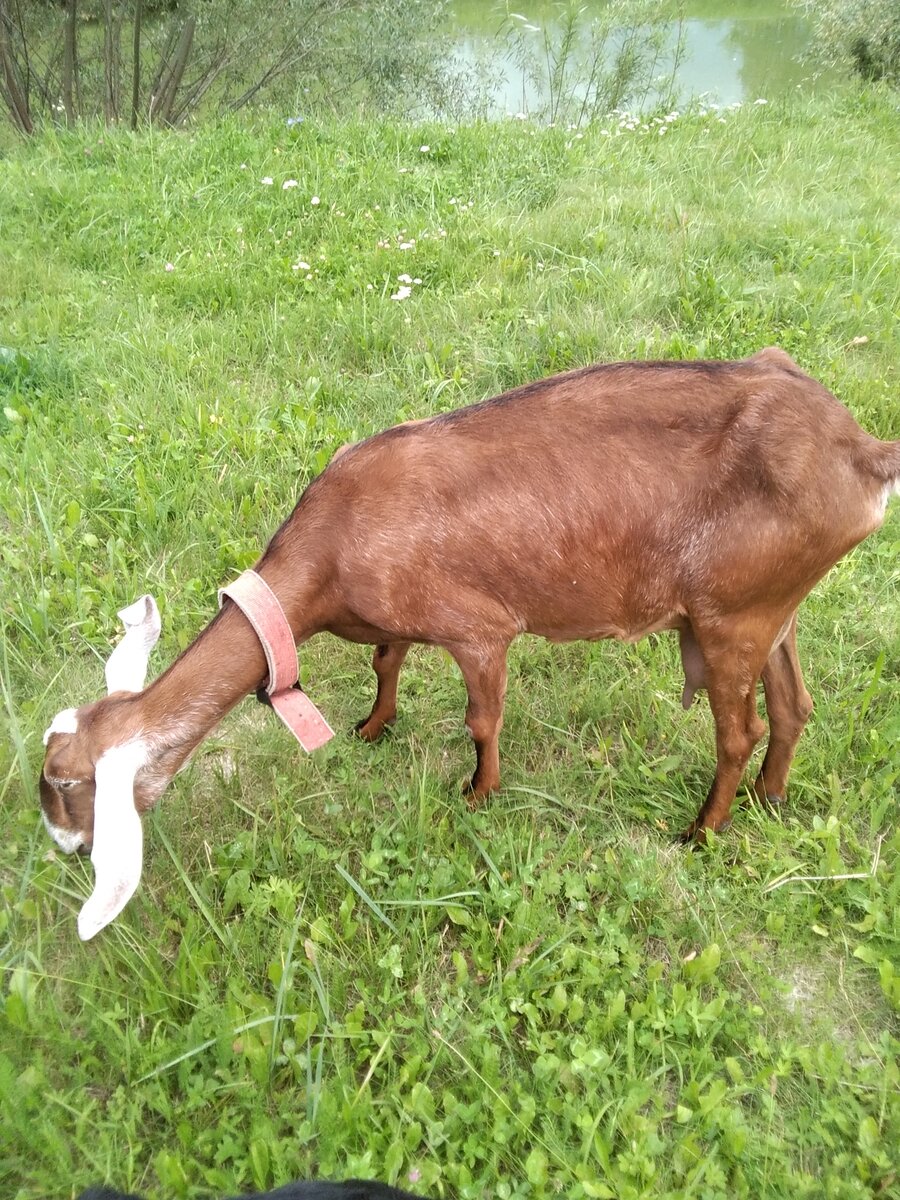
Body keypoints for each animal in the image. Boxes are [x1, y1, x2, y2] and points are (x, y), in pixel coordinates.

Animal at [38, 348, 897, 936]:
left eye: (68, 785)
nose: (64, 848)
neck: (328, 554)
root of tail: (861, 451)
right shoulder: (401, 619)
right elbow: (385, 659)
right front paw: (373, 726)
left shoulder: (479, 629)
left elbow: (482, 718)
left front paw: (478, 794)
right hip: (774, 605)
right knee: (794, 704)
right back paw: (770, 798)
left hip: (731, 614)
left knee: (738, 729)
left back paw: (700, 832)